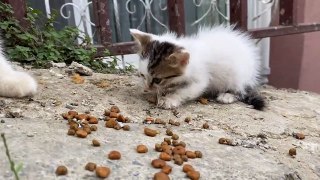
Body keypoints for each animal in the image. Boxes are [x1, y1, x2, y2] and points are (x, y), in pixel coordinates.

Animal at [129, 25, 264, 109]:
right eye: (142, 75)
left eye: (157, 79)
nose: (147, 87)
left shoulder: (201, 78)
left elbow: (186, 90)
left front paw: (170, 99)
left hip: (238, 75)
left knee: (240, 89)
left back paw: (227, 95)